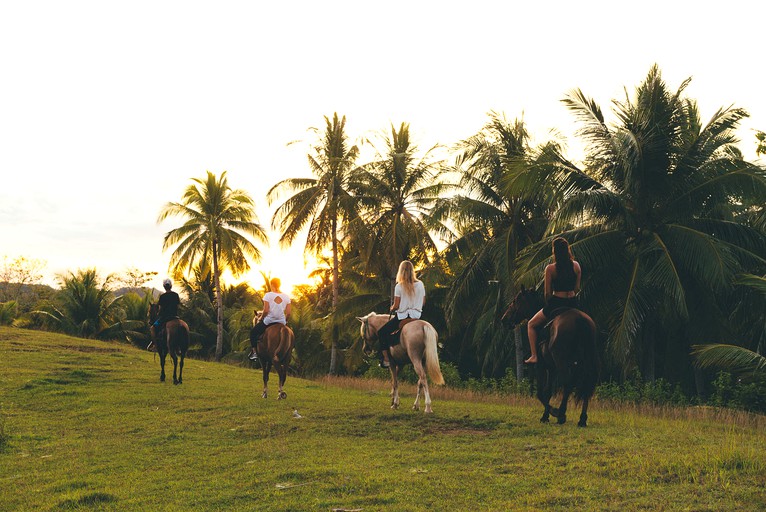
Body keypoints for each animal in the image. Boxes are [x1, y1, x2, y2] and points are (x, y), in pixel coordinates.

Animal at [500, 288, 604, 428]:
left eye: (515, 301)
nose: (504, 319)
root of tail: (581, 320)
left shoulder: (541, 366)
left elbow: (541, 393)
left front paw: (552, 412)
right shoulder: (552, 368)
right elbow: (548, 392)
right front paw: (545, 416)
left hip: (561, 361)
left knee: (567, 383)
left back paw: (561, 414)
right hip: (584, 363)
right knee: (585, 385)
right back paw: (582, 419)